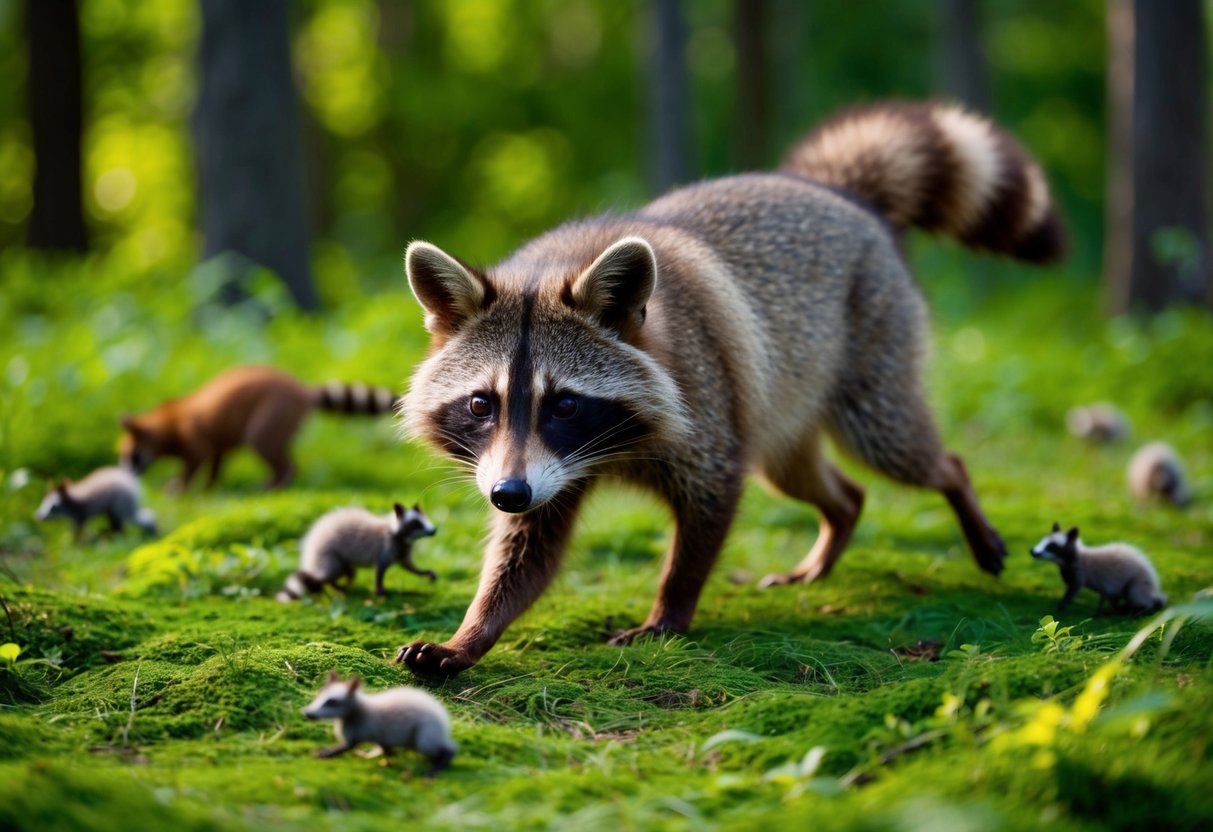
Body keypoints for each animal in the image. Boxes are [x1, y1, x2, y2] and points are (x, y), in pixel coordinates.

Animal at [119, 366, 398, 490]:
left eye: (131, 455)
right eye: (121, 456)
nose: (125, 474)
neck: (164, 422)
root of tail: (300, 391)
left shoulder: (191, 435)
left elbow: (197, 458)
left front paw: (181, 487)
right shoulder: (216, 443)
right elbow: (216, 460)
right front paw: (210, 486)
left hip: (273, 413)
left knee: (263, 444)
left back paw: (279, 481)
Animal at [277, 503, 437, 601]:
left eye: (425, 519)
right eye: (416, 524)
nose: (433, 530)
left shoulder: (402, 549)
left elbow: (408, 566)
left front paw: (424, 572)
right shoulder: (387, 547)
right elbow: (380, 570)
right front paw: (379, 590)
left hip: (342, 560)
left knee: (349, 573)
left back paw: (340, 585)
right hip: (326, 553)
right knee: (329, 573)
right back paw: (329, 583)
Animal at [302, 671, 457, 776]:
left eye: (332, 702)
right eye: (319, 695)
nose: (308, 713)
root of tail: (443, 718)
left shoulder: (357, 731)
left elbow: (345, 747)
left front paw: (322, 754)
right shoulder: (380, 736)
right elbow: (385, 749)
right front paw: (386, 757)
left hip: (425, 736)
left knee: (447, 748)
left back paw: (436, 767)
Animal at [393, 99, 1065, 676]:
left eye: (565, 404)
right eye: (482, 403)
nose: (506, 494)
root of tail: (838, 193)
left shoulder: (700, 397)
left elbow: (709, 504)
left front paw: (670, 609)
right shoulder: (537, 467)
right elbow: (528, 547)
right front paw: (472, 632)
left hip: (872, 353)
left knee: (901, 448)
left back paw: (955, 486)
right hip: (783, 406)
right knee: (811, 479)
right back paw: (838, 520)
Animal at [1030, 522, 1167, 614]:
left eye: (1051, 546)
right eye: (1042, 541)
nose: (1033, 551)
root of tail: (1153, 586)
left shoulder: (1080, 573)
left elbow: (1073, 589)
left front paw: (1060, 607)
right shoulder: (1069, 572)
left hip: (1137, 581)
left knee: (1136, 595)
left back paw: (1141, 610)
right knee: (1116, 598)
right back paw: (1119, 609)